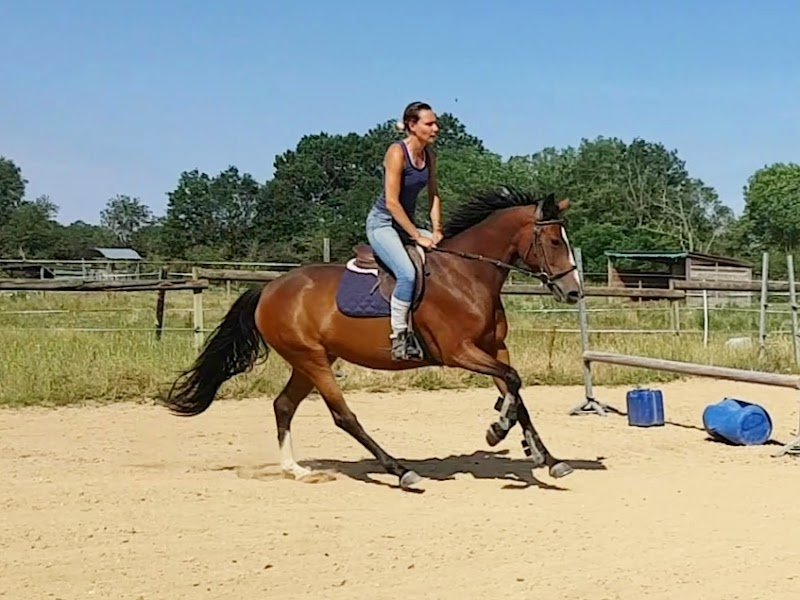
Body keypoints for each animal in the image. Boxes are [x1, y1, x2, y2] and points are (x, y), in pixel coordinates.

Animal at [163, 187, 584, 490]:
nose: (574, 292)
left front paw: (546, 458)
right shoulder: (459, 351)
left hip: (312, 360)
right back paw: (400, 471)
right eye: (554, 242)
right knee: (343, 415)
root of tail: (269, 289)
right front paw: (499, 430)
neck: (467, 275)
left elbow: (517, 391)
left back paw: (295, 469)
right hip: (312, 359)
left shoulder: (495, 348)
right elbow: (513, 383)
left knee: (283, 405)